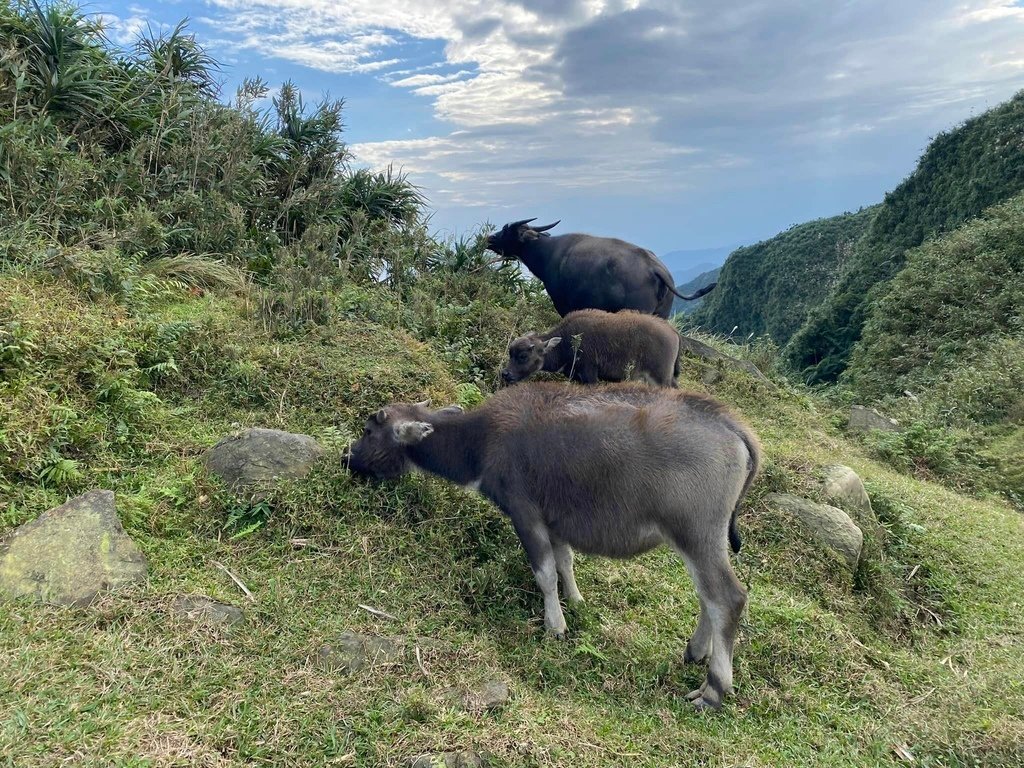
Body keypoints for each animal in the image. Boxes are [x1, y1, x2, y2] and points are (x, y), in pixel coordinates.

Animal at [346, 382, 761, 712]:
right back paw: (696, 651)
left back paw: (713, 690)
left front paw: (555, 625)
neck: (482, 440)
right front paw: (575, 601)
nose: (346, 456)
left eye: (368, 429)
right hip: (704, 541)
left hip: (696, 534)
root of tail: (731, 424)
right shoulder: (555, 520)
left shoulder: (525, 513)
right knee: (708, 597)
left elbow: (544, 573)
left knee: (727, 598)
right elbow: (565, 562)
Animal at [485, 219, 712, 319]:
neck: (548, 252)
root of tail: (656, 268)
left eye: (507, 231)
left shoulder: (563, 302)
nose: (489, 238)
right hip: (661, 314)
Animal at [501, 309, 679, 387]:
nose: (505, 374)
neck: (567, 341)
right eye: (510, 353)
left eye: (523, 356)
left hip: (660, 378)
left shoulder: (590, 376)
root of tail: (672, 331)